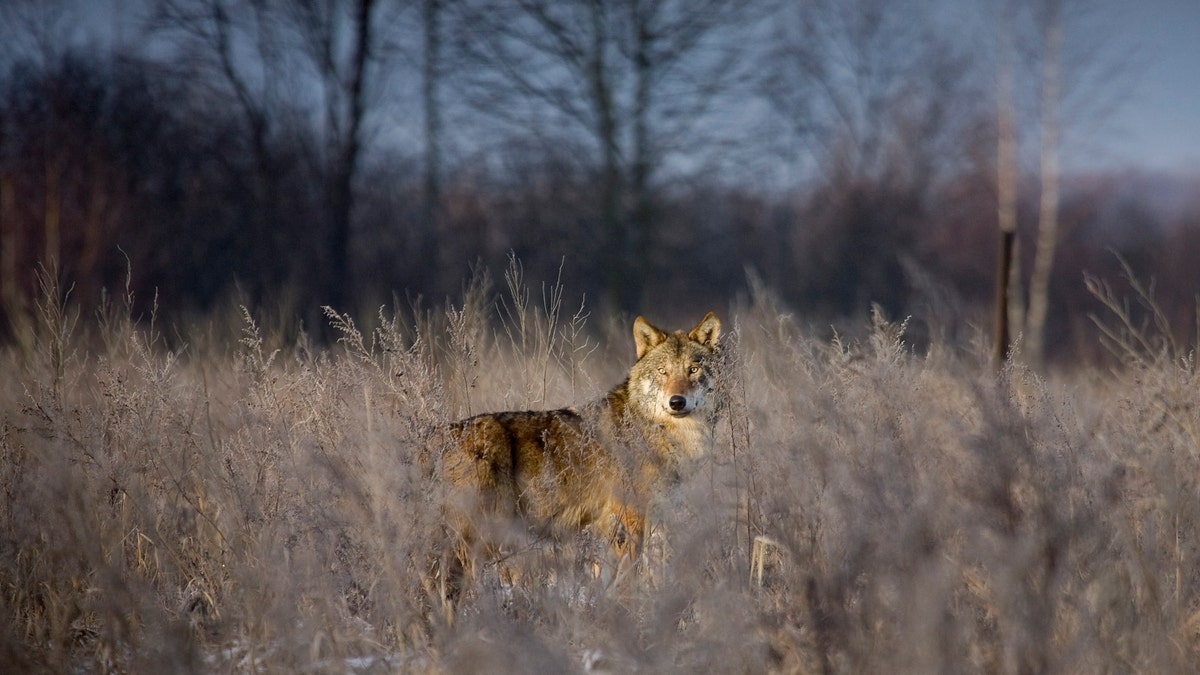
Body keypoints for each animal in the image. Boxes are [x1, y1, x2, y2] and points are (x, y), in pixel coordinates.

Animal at [434, 309, 720, 588]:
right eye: (662, 371)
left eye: (693, 370)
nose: (677, 402)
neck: (659, 431)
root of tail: (440, 435)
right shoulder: (627, 520)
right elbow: (627, 581)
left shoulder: (654, 519)